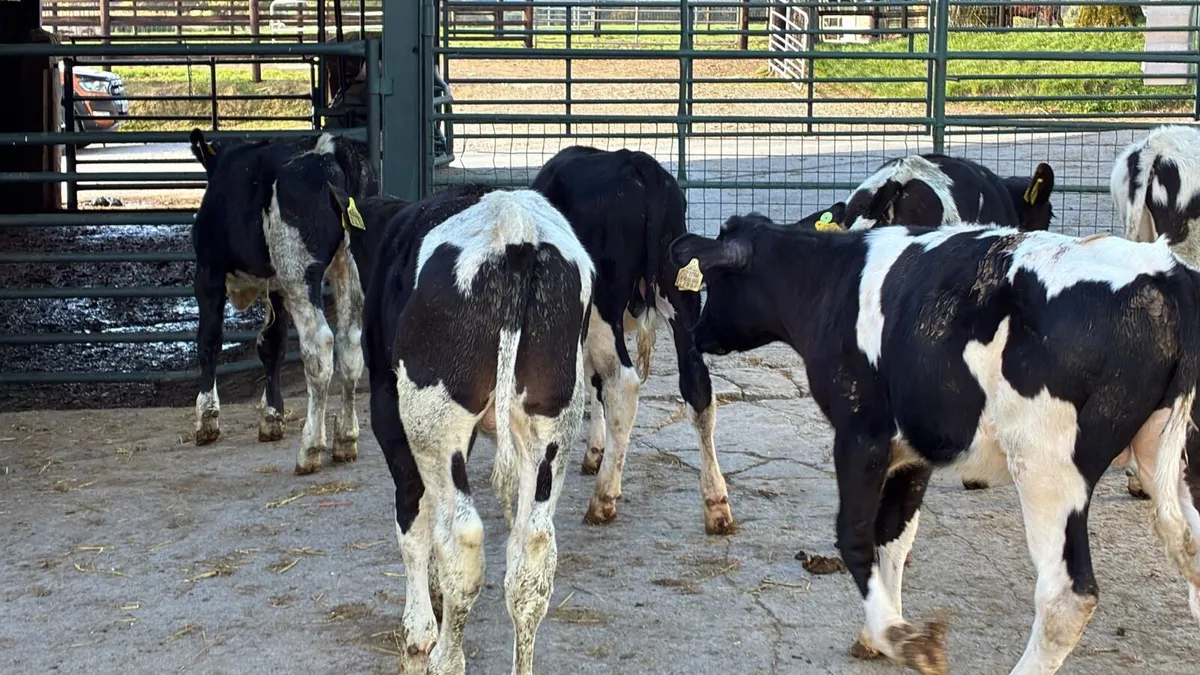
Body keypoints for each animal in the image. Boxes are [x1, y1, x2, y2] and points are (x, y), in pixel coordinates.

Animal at [188, 129, 377, 475]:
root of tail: (331, 147)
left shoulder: (208, 272)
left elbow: (209, 340)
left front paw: (206, 419)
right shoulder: (274, 285)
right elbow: (271, 345)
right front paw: (272, 416)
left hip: (298, 271)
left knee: (319, 345)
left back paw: (311, 448)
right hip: (346, 265)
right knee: (350, 342)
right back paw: (345, 439)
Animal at [357, 183, 594, 674]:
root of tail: (516, 230)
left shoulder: (388, 408)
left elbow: (413, 518)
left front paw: (420, 627)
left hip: (431, 419)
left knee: (462, 537)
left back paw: (446, 657)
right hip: (553, 422)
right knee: (532, 552)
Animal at [530, 145, 735, 534]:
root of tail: (638, 162)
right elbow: (592, 382)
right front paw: (596, 450)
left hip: (604, 304)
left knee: (623, 384)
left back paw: (603, 499)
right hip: (680, 295)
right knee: (698, 387)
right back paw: (716, 503)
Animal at [670, 214, 1200, 674]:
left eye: (713, 284)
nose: (697, 333)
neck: (830, 282)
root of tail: (1166, 273)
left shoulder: (860, 434)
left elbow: (855, 536)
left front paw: (900, 639)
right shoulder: (916, 448)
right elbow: (894, 535)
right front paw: (877, 632)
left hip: (1047, 467)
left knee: (1067, 596)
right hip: (1167, 455)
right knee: (1190, 545)